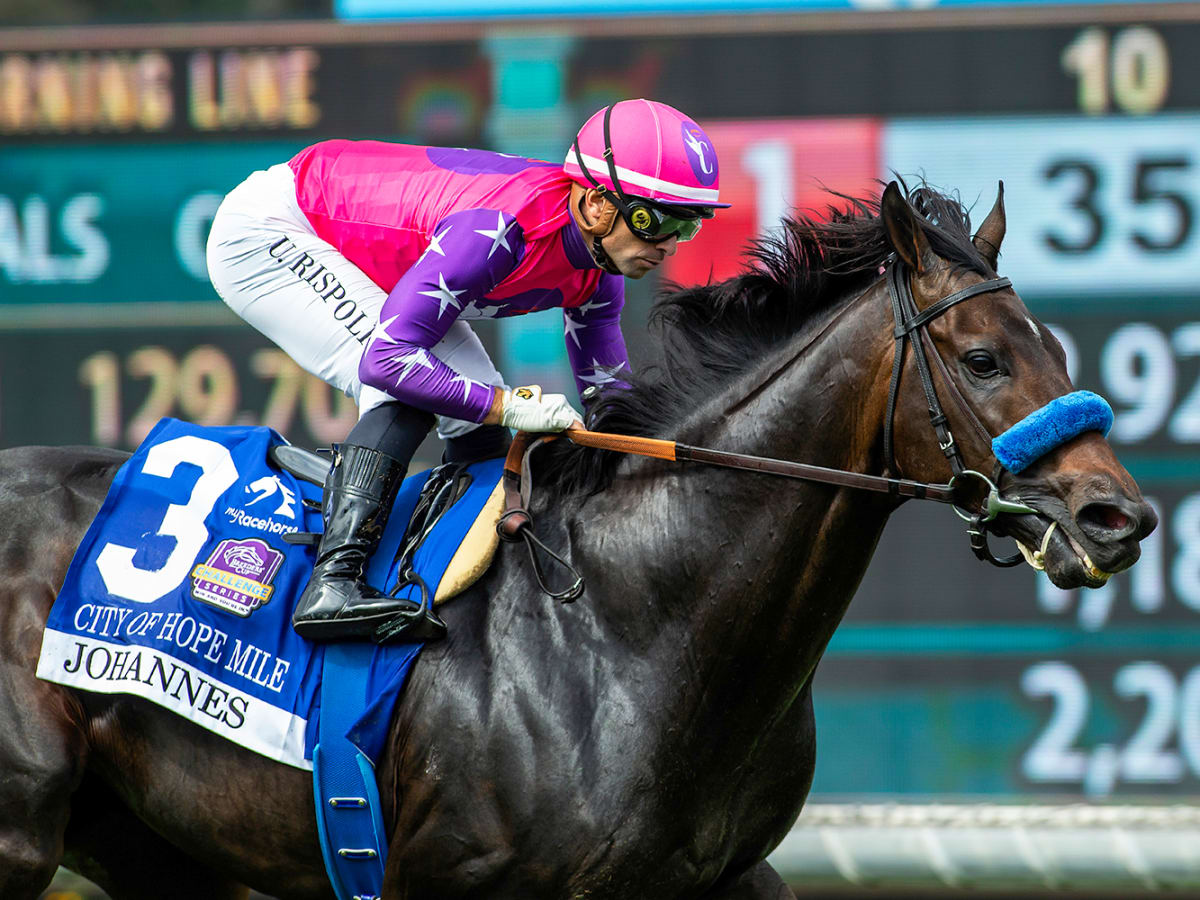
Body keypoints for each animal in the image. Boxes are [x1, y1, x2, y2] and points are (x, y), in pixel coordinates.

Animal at [1, 181, 1155, 899]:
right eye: (983, 358)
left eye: (1055, 350)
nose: (1120, 517)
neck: (623, 624)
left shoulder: (728, 876)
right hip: (24, 827)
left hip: (155, 844)